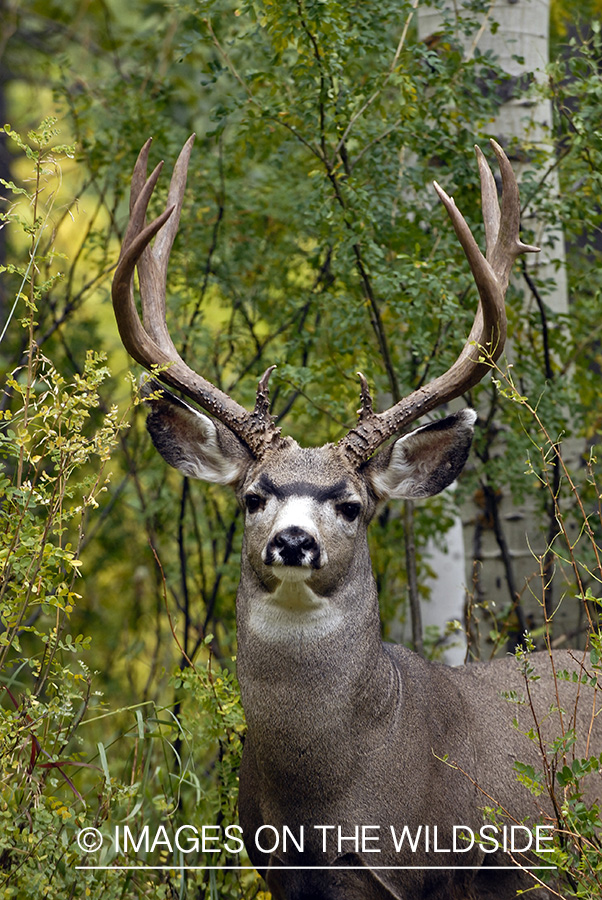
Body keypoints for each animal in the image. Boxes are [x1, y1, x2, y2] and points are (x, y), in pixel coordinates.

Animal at [112, 135, 600, 900]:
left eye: (352, 504)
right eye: (253, 496)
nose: (292, 542)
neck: (328, 803)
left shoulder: (444, 874)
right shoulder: (281, 873)